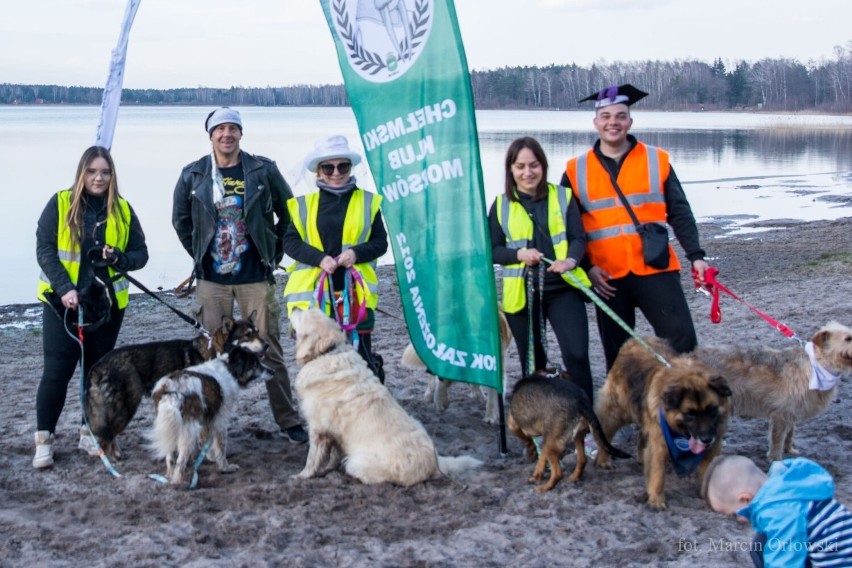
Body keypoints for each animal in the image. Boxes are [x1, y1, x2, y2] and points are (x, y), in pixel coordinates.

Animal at [85, 312, 266, 460]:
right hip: (126, 407)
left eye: (257, 331)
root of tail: (98, 365)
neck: (217, 350)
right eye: (247, 335)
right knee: (106, 437)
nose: (267, 345)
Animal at [146, 344, 272, 486]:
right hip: (187, 431)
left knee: (170, 457)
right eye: (255, 364)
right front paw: (225, 467)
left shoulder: (205, 419)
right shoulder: (220, 419)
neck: (230, 369)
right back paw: (178, 481)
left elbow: (206, 441)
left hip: (170, 426)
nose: (273, 372)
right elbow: (221, 447)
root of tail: (169, 389)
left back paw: (170, 476)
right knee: (180, 460)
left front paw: (211, 457)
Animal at [292, 308, 480, 486]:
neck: (328, 352)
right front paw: (329, 468)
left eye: (303, 315)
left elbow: (312, 458)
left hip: (356, 462)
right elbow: (333, 454)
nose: (293, 308)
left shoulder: (318, 429)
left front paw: (302, 476)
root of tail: (435, 462)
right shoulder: (333, 433)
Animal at [592, 338, 732, 510]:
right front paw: (657, 500)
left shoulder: (713, 445)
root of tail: (632, 341)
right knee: (605, 430)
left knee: (642, 435)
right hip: (618, 411)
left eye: (712, 410)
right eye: (690, 413)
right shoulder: (660, 442)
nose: (706, 439)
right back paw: (603, 459)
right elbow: (658, 472)